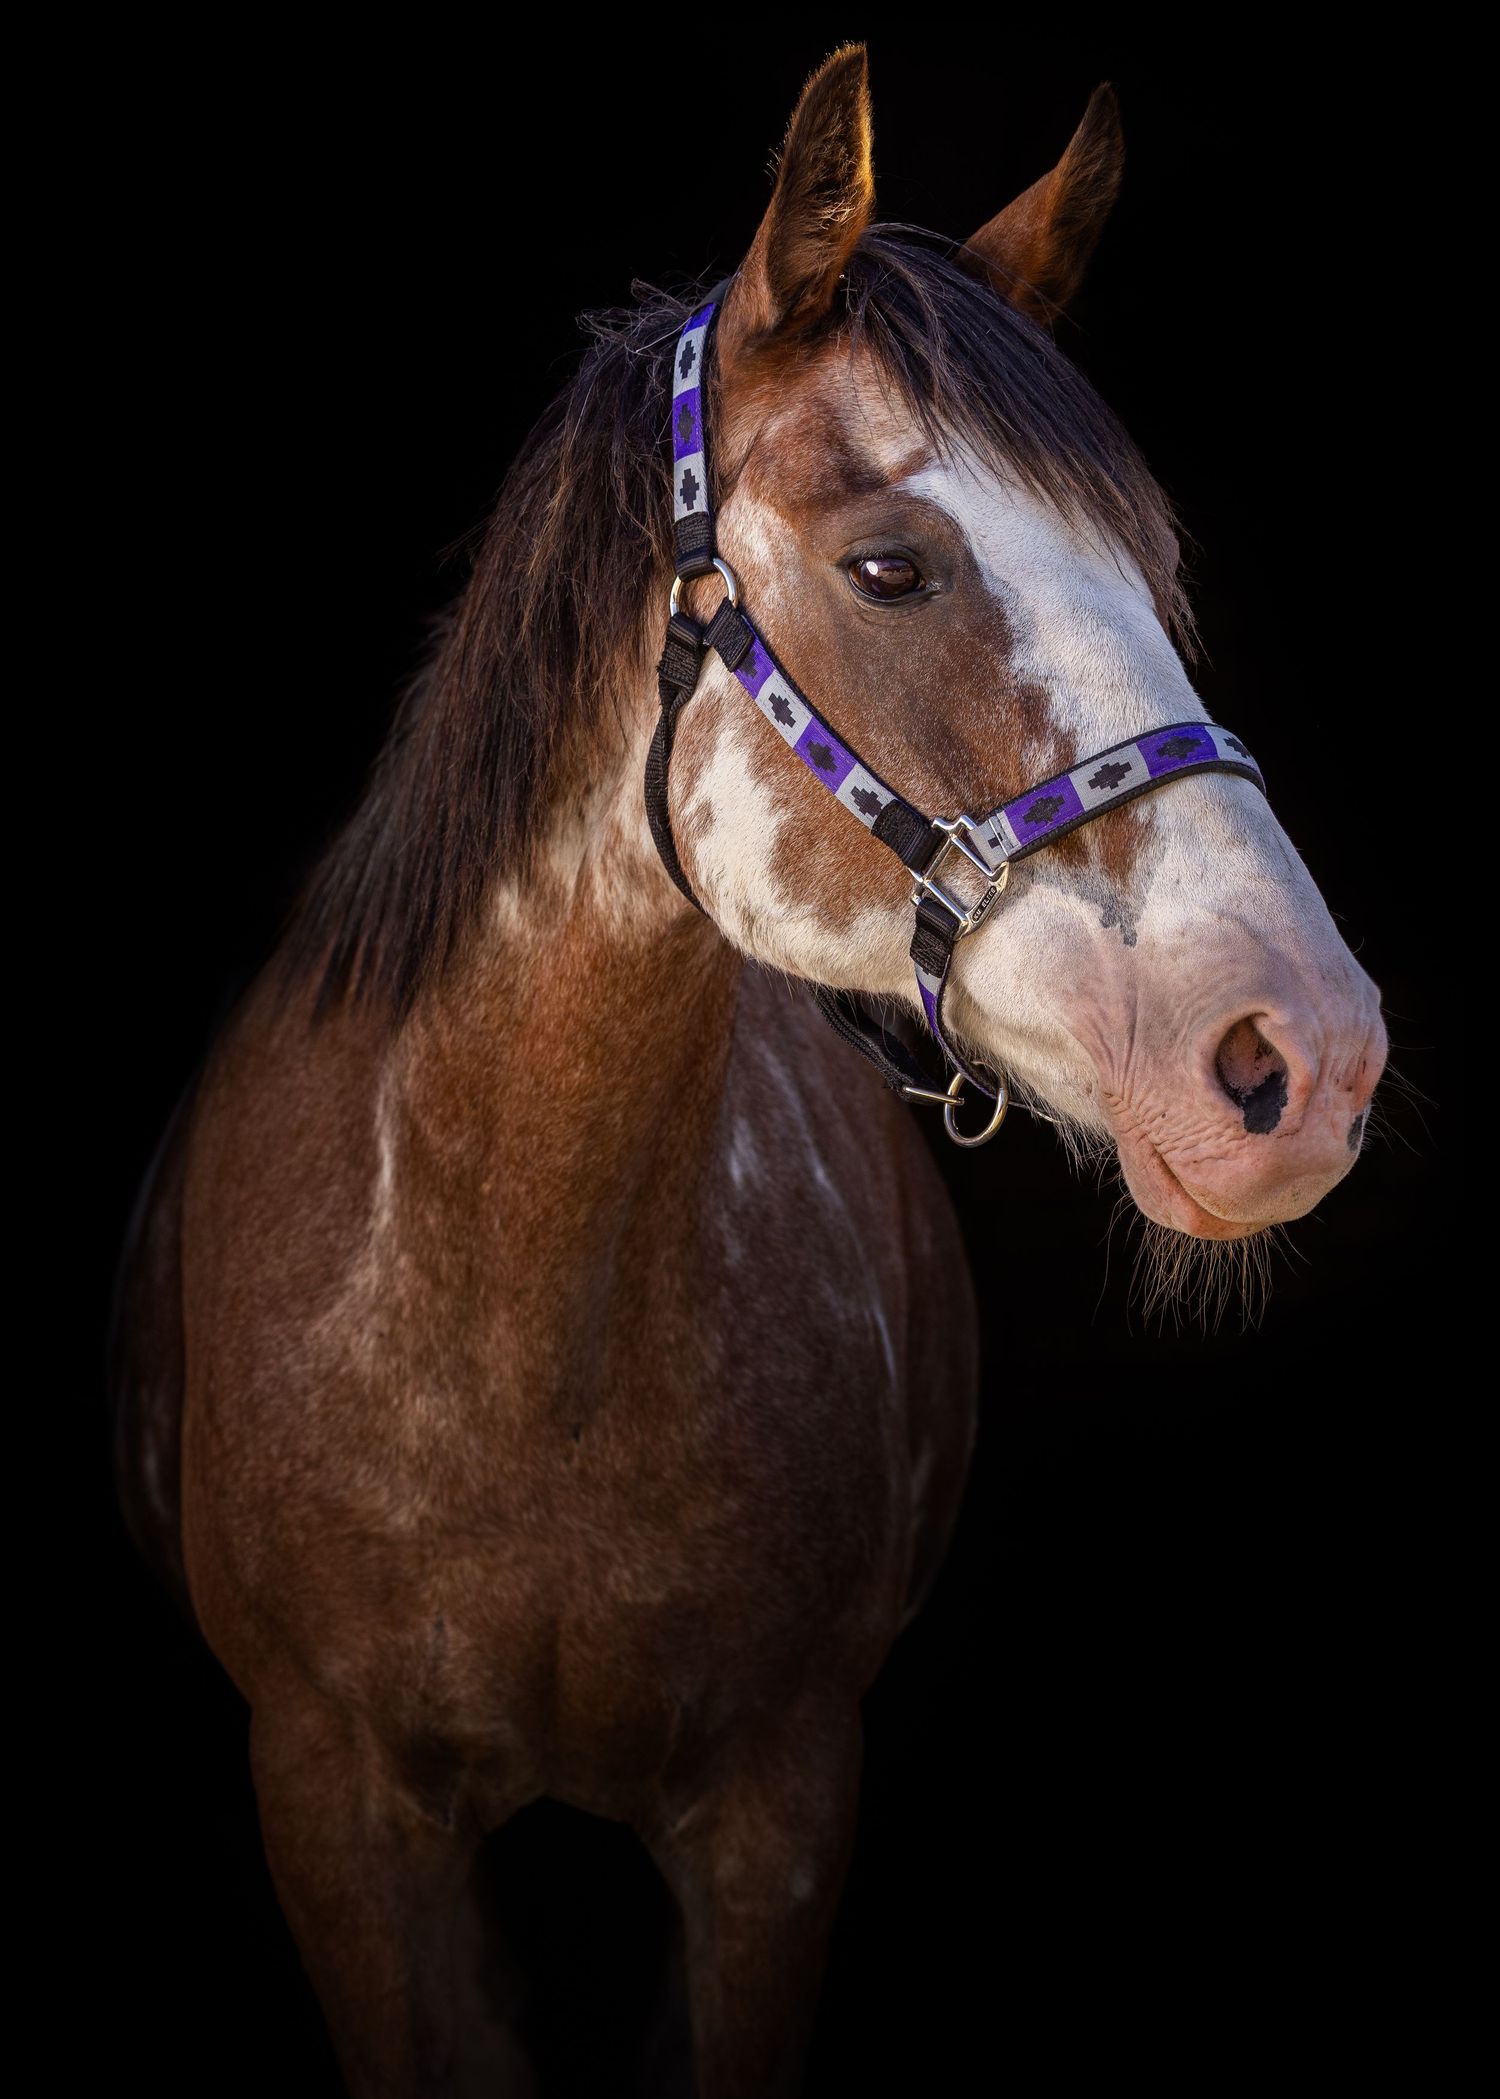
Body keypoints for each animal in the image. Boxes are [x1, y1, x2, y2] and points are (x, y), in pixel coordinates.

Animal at [111, 46, 1387, 2098]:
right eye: (891, 565)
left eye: (1161, 571)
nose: (1309, 1054)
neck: (515, 1333)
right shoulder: (335, 1806)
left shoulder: (781, 1802)